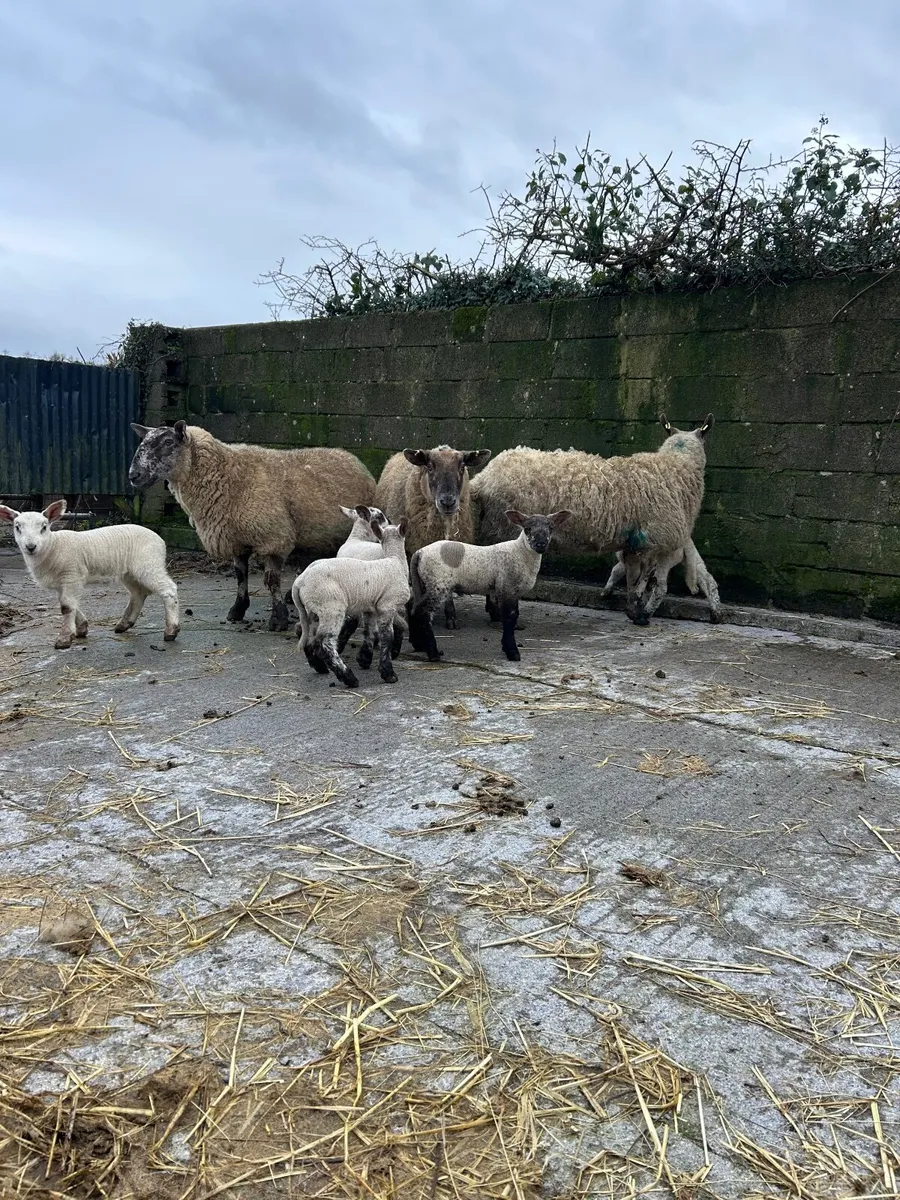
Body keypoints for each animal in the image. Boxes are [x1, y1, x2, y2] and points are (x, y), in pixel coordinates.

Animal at [0, 499, 179, 649]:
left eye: (44, 527)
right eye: (17, 527)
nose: (31, 547)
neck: (53, 547)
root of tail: (160, 540)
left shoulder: (72, 574)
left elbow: (66, 606)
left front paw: (64, 639)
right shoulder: (62, 582)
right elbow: (69, 604)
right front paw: (82, 628)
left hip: (148, 564)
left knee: (168, 590)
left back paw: (171, 631)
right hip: (130, 572)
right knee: (138, 594)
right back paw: (124, 625)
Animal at [129, 422, 376, 632]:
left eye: (168, 442)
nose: (133, 475)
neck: (227, 475)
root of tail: (349, 455)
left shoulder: (274, 537)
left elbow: (271, 580)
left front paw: (278, 618)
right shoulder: (235, 539)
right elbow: (240, 576)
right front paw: (238, 610)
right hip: (315, 533)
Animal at [292, 519, 411, 689]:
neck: (395, 560)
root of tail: (300, 581)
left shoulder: (370, 607)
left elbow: (370, 631)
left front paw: (365, 659)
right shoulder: (387, 605)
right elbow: (387, 636)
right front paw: (388, 674)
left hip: (311, 610)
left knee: (307, 635)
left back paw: (320, 667)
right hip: (331, 607)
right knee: (324, 644)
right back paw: (349, 678)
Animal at [408, 510, 571, 662]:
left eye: (550, 527)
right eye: (527, 528)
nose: (541, 545)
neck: (520, 552)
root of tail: (419, 553)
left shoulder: (513, 591)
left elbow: (513, 616)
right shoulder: (506, 587)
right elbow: (509, 618)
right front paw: (512, 652)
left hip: (423, 584)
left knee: (413, 609)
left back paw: (419, 645)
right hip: (438, 584)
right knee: (423, 613)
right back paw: (433, 653)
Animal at [471, 415, 714, 625]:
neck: (675, 468)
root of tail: (483, 480)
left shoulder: (634, 544)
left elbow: (632, 579)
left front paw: (633, 612)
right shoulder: (651, 543)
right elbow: (641, 582)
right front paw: (640, 617)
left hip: (493, 529)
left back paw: (494, 612)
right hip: (505, 529)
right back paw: (501, 614)